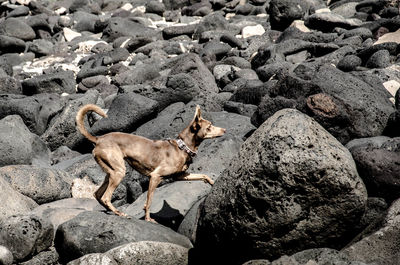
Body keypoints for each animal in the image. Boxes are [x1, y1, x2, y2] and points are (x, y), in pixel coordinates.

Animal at [75, 103, 225, 221]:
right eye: (210, 126)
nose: (224, 129)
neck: (182, 147)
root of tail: (98, 139)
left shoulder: (181, 176)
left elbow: (203, 175)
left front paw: (213, 183)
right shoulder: (155, 177)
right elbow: (149, 201)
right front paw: (148, 219)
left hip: (110, 172)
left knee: (97, 194)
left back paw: (110, 211)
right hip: (119, 172)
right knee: (106, 197)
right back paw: (120, 213)